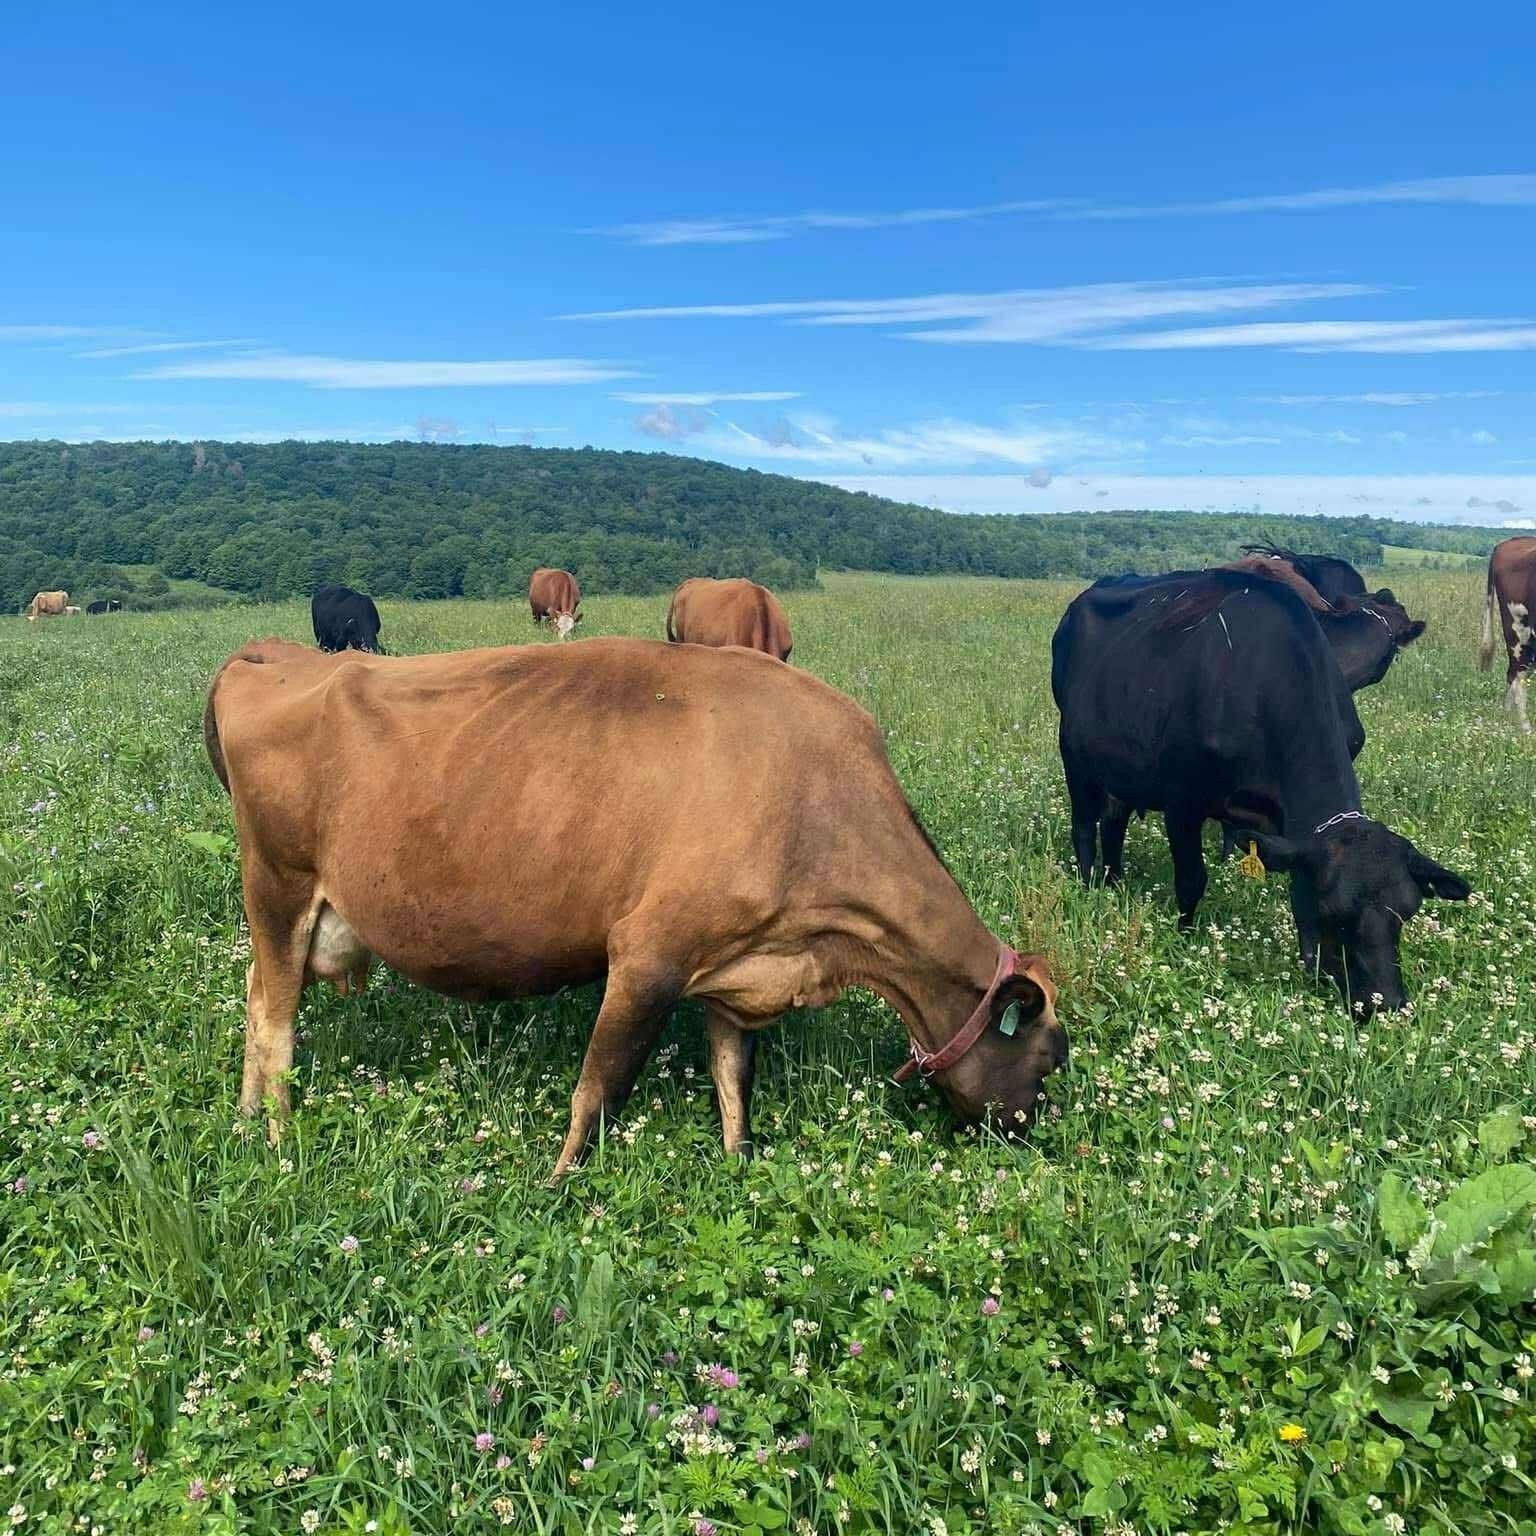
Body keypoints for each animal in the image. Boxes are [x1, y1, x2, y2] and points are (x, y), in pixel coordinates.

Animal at [203, 637, 1066, 1171]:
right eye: (1049, 1057)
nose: (1029, 1131)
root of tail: (275, 655)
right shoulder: (648, 955)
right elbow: (600, 1090)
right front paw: (558, 1186)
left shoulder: (741, 964)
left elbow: (732, 1079)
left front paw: (737, 1164)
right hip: (279, 886)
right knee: (275, 1023)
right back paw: (277, 1139)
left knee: (253, 999)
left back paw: (242, 1122)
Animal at [1052, 571, 1469, 1013]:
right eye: (1333, 912)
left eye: (1407, 912)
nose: (1385, 1003)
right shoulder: (1182, 802)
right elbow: (1191, 881)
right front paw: (1184, 940)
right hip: (1073, 752)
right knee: (1084, 826)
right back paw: (1089, 886)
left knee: (1114, 822)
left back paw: (1114, 883)